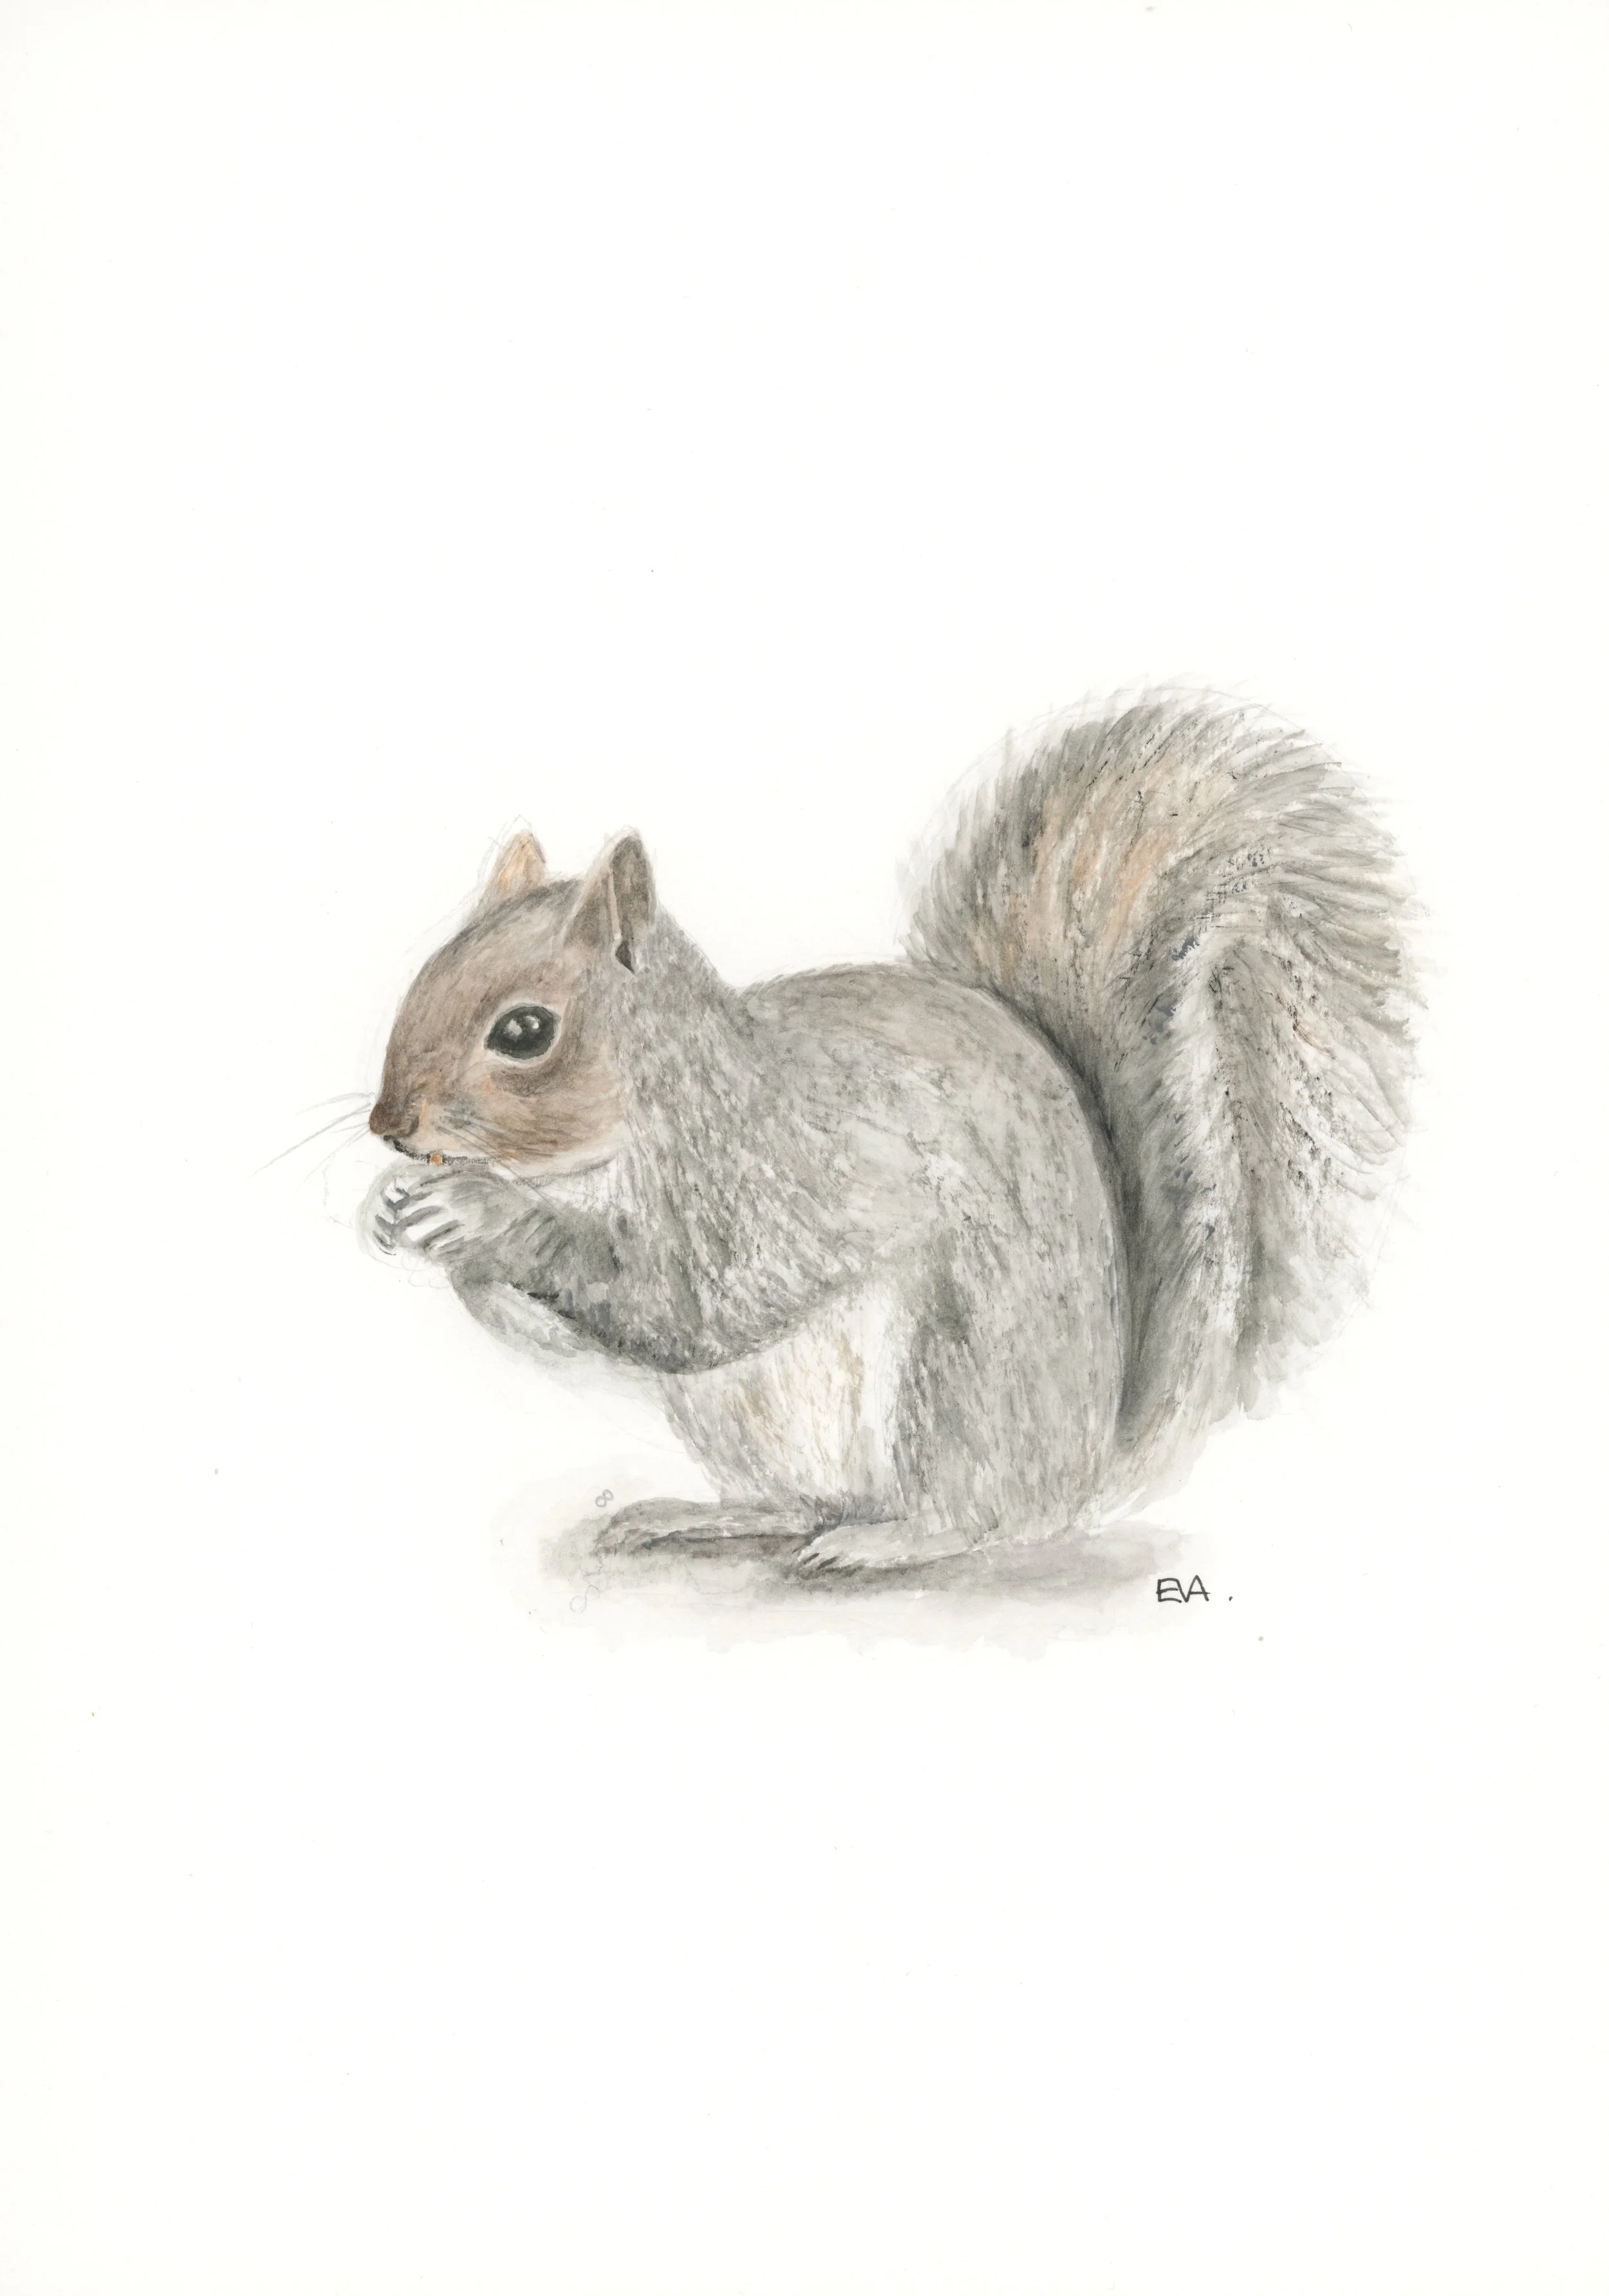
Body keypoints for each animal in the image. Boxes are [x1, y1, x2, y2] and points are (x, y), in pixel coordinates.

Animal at [363, 694, 1414, 1575]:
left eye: (525, 1032)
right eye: (427, 970)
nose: (388, 1126)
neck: (600, 1156)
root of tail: (1083, 1468)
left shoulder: (767, 1176)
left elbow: (683, 1296)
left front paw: (480, 1211)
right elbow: (567, 1338)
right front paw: (402, 1216)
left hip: (959, 1377)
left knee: (979, 1514)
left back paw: (893, 1539)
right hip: (742, 1421)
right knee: (800, 1500)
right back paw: (714, 1516)